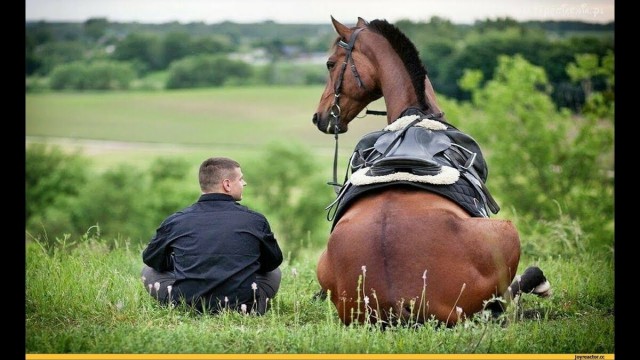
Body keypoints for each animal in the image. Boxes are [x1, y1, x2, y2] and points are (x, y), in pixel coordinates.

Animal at [310, 16, 552, 326]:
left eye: (330, 63)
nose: (320, 116)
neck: (414, 116)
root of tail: (396, 301)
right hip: (506, 235)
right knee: (506, 298)